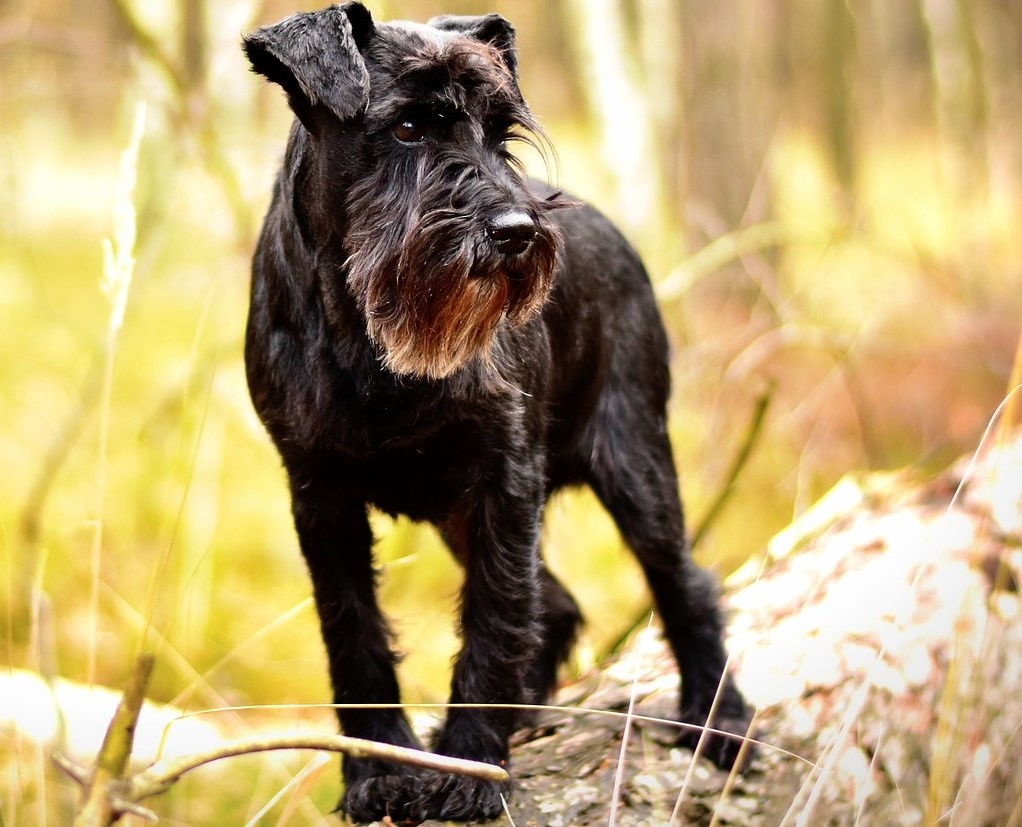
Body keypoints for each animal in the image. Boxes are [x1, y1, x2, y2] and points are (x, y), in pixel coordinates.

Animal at [243, 3, 751, 822]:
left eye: (500, 131)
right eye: (408, 128)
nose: (516, 231)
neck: (366, 340)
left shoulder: (503, 483)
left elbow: (494, 616)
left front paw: (469, 768)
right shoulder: (319, 496)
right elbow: (353, 630)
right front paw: (378, 770)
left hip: (636, 466)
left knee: (683, 583)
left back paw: (720, 719)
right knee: (561, 604)